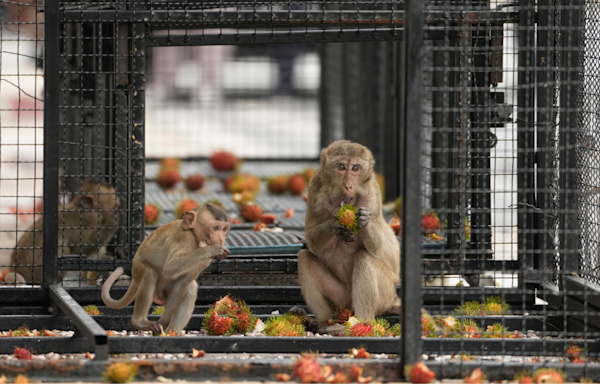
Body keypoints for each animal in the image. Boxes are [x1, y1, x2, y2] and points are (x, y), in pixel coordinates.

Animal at [102, 204, 229, 332]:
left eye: (224, 229)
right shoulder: (186, 238)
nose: (221, 239)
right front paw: (214, 249)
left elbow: (183, 283)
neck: (196, 238)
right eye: (216, 227)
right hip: (137, 270)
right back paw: (140, 322)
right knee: (150, 273)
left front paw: (163, 322)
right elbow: (170, 268)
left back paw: (171, 332)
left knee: (190, 288)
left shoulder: (205, 261)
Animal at [298, 140, 400, 330]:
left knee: (364, 258)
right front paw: (335, 225)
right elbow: (312, 241)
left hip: (386, 294)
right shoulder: (314, 186)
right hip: (341, 299)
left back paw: (360, 323)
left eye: (355, 168)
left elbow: (378, 247)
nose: (348, 186)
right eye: (341, 167)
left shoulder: (372, 193)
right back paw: (322, 323)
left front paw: (365, 221)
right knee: (304, 258)